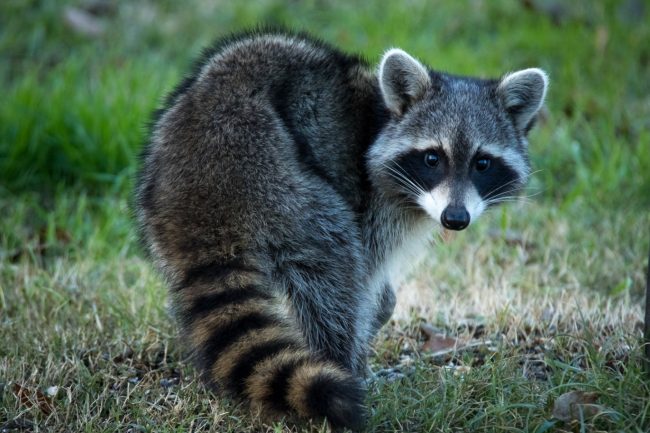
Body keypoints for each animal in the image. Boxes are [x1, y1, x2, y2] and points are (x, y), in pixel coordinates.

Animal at [135, 30, 547, 430]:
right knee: (333, 266)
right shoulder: (371, 198)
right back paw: (341, 363)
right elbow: (364, 276)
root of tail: (202, 184)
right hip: (277, 176)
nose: (455, 219)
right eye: (433, 158)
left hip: (155, 196)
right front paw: (372, 327)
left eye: (482, 163)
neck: (383, 117)